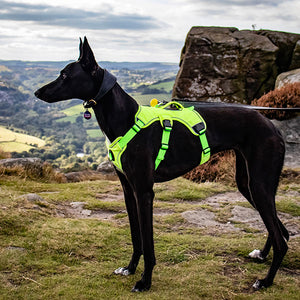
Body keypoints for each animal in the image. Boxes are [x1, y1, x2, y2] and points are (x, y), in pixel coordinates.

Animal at [34, 36, 288, 292]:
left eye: (65, 75)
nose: (37, 92)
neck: (125, 118)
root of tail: (272, 126)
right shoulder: (128, 191)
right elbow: (136, 237)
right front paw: (129, 268)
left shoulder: (144, 192)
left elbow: (148, 244)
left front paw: (145, 281)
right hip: (248, 184)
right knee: (280, 229)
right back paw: (262, 255)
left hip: (259, 185)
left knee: (282, 238)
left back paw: (266, 281)